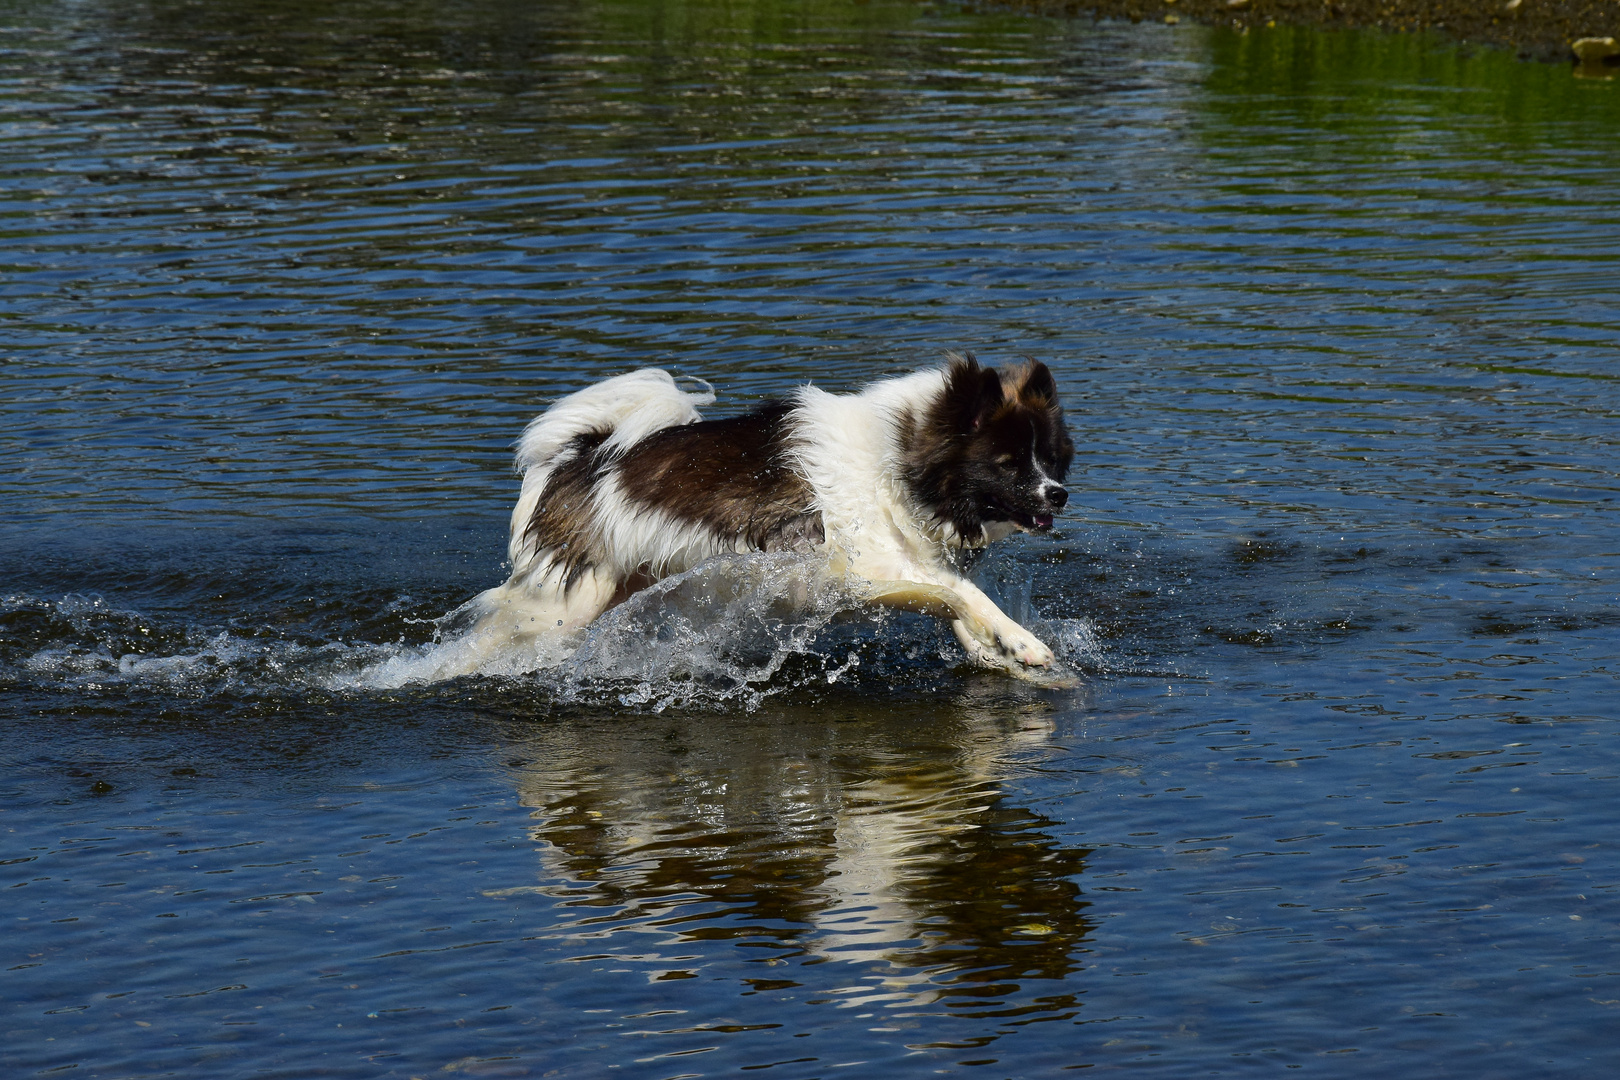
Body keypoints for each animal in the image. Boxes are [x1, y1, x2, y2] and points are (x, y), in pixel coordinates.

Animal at [453, 352, 1075, 676]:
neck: (894, 460)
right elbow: (960, 592)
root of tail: (577, 456)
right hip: (564, 604)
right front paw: (1022, 642)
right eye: (1006, 463)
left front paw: (996, 650)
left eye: (1049, 457)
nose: (1059, 495)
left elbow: (951, 598)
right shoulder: (856, 570)